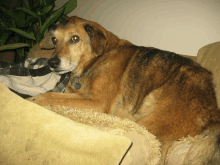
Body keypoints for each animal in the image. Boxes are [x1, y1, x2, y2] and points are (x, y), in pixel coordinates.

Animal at [27, 16, 220, 163]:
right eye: (54, 40)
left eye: (75, 38)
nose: (52, 63)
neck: (97, 59)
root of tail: (213, 114)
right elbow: (56, 94)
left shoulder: (98, 103)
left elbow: (51, 96)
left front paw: (33, 100)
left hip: (150, 117)